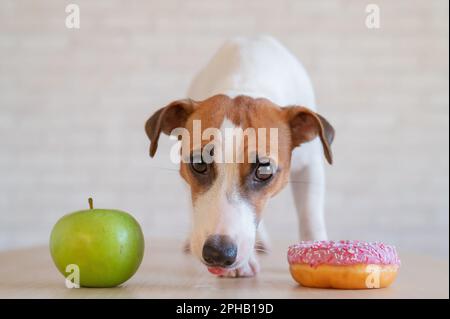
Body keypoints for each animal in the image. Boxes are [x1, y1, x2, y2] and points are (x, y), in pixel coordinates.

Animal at [144, 36, 334, 278]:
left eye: (264, 170)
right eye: (198, 164)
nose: (218, 253)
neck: (246, 82)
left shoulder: (309, 166)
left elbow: (310, 214)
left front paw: (317, 249)